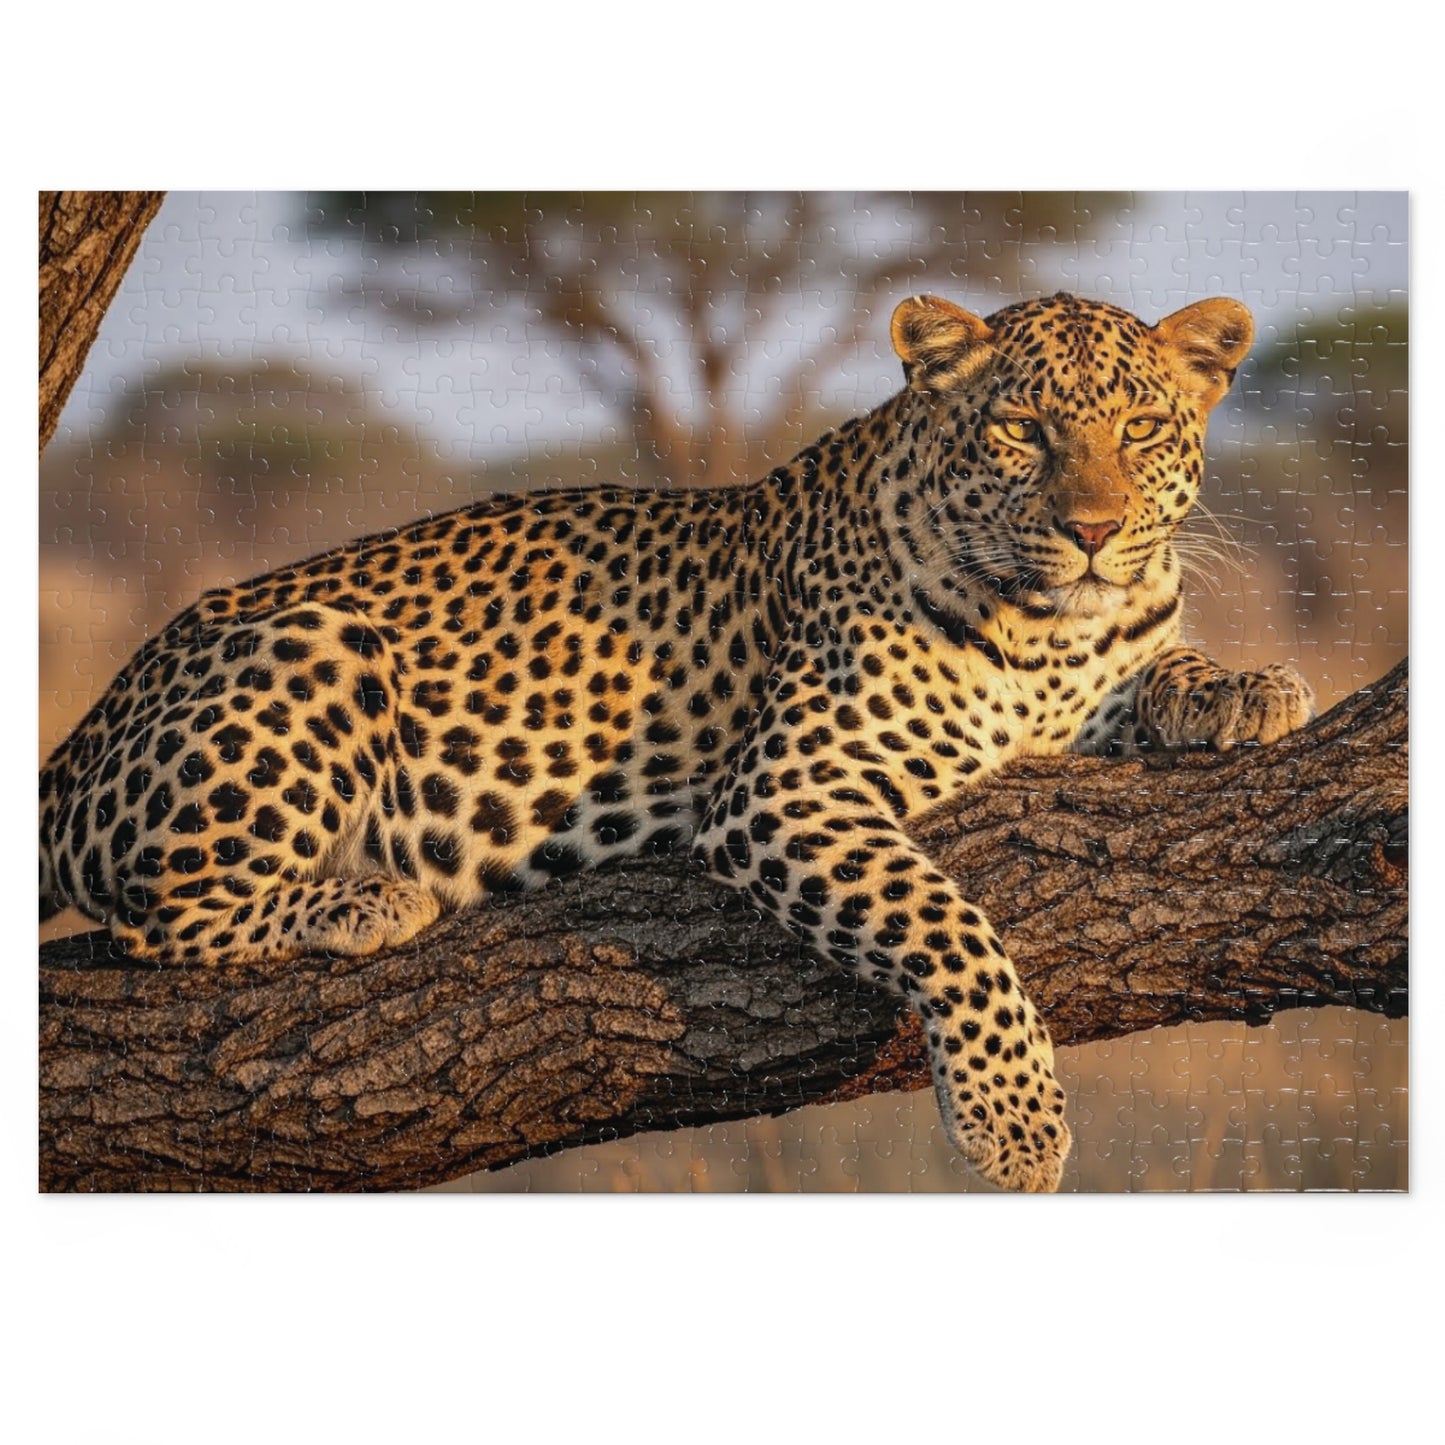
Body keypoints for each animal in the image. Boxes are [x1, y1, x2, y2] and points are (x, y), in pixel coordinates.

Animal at [39, 291, 1314, 1193]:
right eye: (1017, 427)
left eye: (1139, 428)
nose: (1092, 529)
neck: (1047, 630)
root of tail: (93, 718)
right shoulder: (786, 789)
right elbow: (947, 923)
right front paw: (1013, 1122)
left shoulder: (1091, 675)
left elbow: (1159, 666)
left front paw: (1243, 686)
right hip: (316, 640)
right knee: (156, 921)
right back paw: (362, 898)